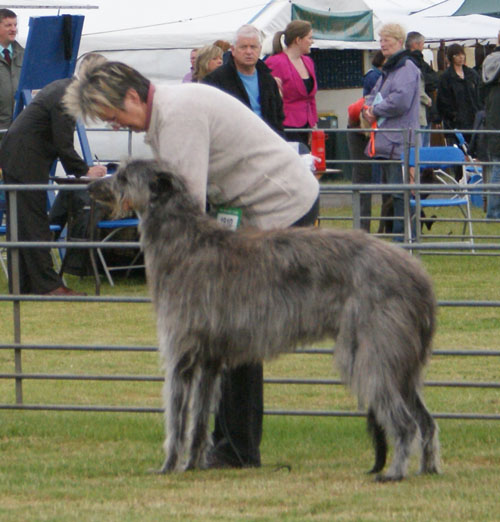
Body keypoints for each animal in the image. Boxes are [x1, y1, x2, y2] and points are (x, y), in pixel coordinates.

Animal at [90, 157, 442, 480]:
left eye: (123, 177)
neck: (184, 242)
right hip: (400, 360)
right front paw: (193, 464)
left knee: (405, 423)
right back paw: (428, 468)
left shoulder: (182, 354)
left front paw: (168, 466)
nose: (90, 186)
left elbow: (176, 418)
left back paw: (395, 472)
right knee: (426, 419)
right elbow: (200, 420)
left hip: (372, 353)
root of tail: (419, 276)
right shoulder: (210, 359)